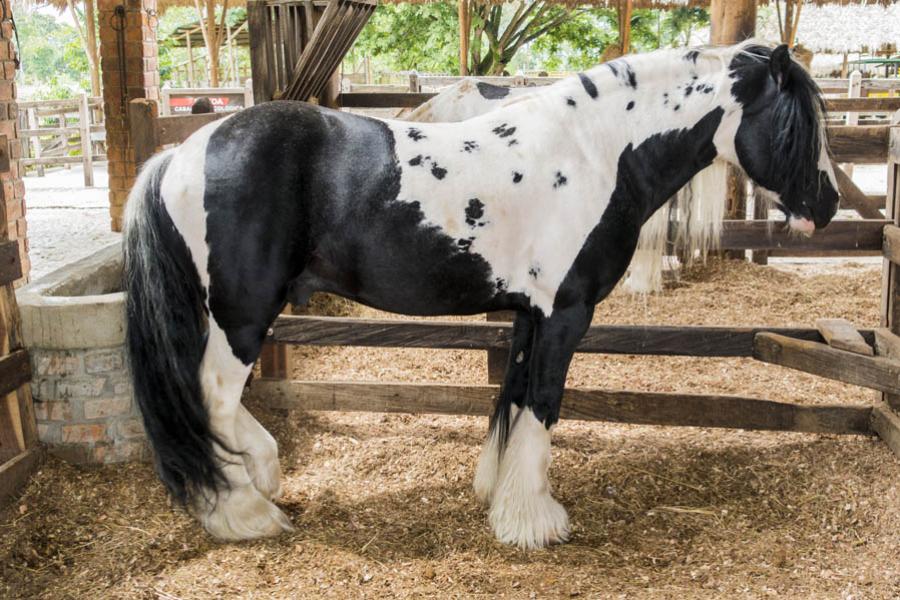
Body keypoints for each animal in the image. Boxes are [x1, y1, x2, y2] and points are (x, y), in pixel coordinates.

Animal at [125, 42, 836, 548]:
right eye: (798, 123)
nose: (827, 208)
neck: (594, 153)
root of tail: (180, 155)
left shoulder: (529, 315)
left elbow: (513, 399)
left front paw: (498, 495)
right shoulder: (566, 314)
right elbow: (543, 405)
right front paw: (534, 521)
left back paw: (263, 476)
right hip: (241, 316)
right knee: (212, 397)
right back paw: (244, 512)